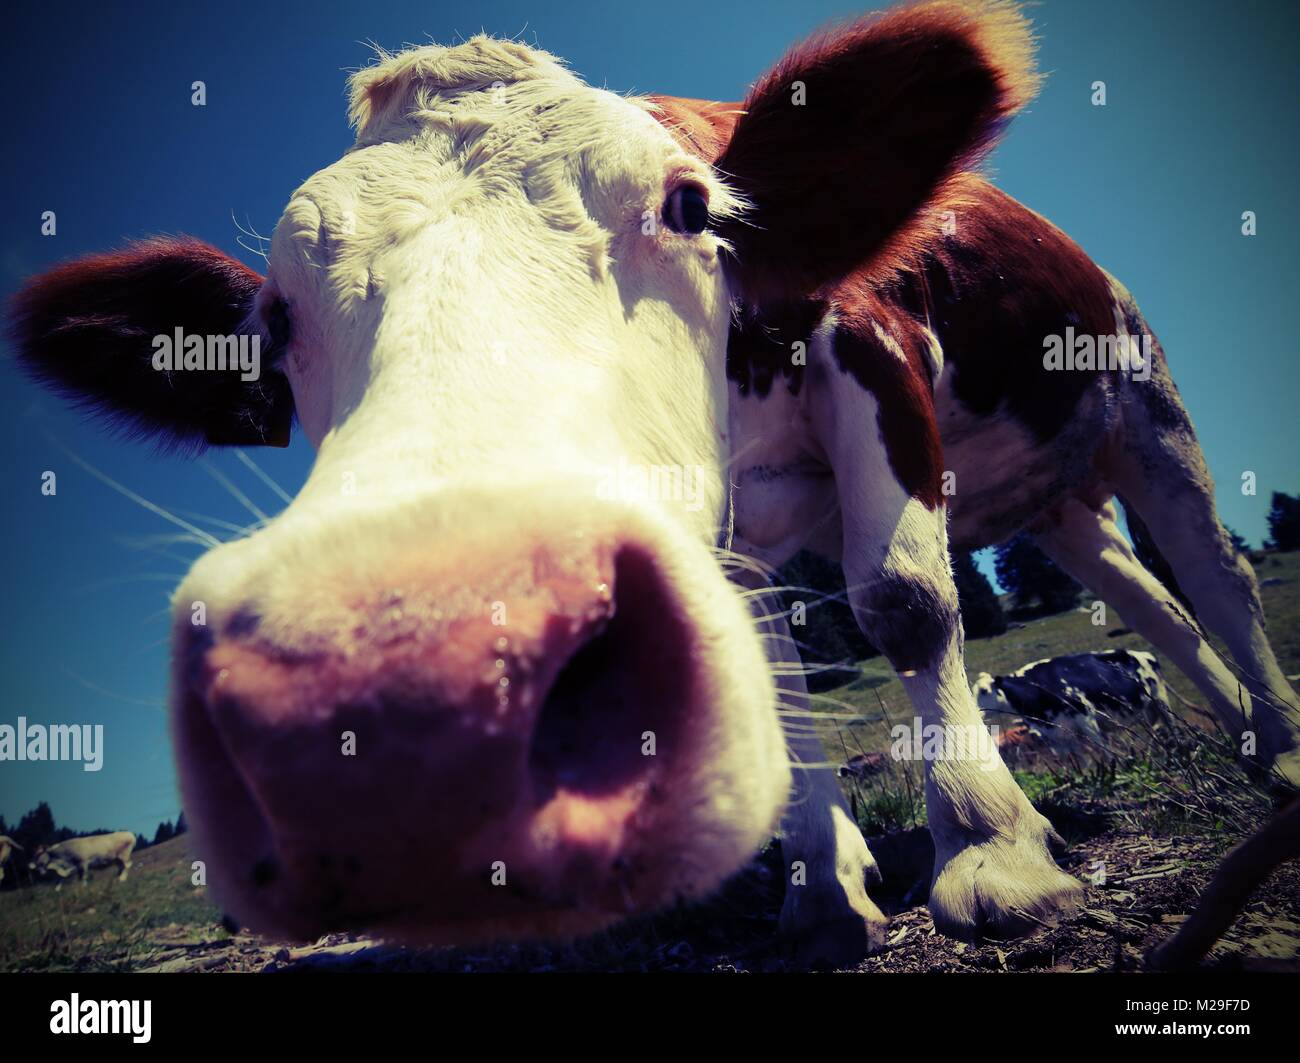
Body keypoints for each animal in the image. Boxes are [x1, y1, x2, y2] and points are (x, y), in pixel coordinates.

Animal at [972, 650, 1172, 759]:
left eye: (984, 691)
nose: (976, 712)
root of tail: (1144, 654)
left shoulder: (1086, 719)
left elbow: (1105, 752)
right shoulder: (1058, 736)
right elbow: (1078, 760)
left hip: (1161, 700)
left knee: (1171, 725)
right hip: (1146, 711)